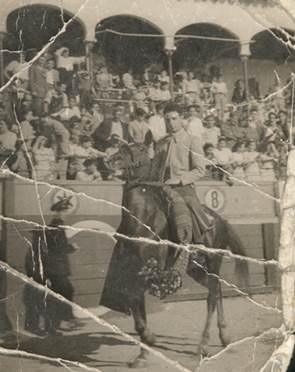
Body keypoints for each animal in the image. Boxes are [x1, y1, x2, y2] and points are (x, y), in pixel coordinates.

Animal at [102, 142, 250, 366]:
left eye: (138, 149)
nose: (110, 160)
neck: (141, 219)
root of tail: (220, 221)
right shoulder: (130, 270)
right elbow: (136, 309)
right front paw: (143, 354)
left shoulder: (148, 270)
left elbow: (138, 307)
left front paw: (149, 340)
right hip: (196, 270)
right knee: (216, 291)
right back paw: (225, 337)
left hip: (213, 262)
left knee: (211, 297)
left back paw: (203, 346)